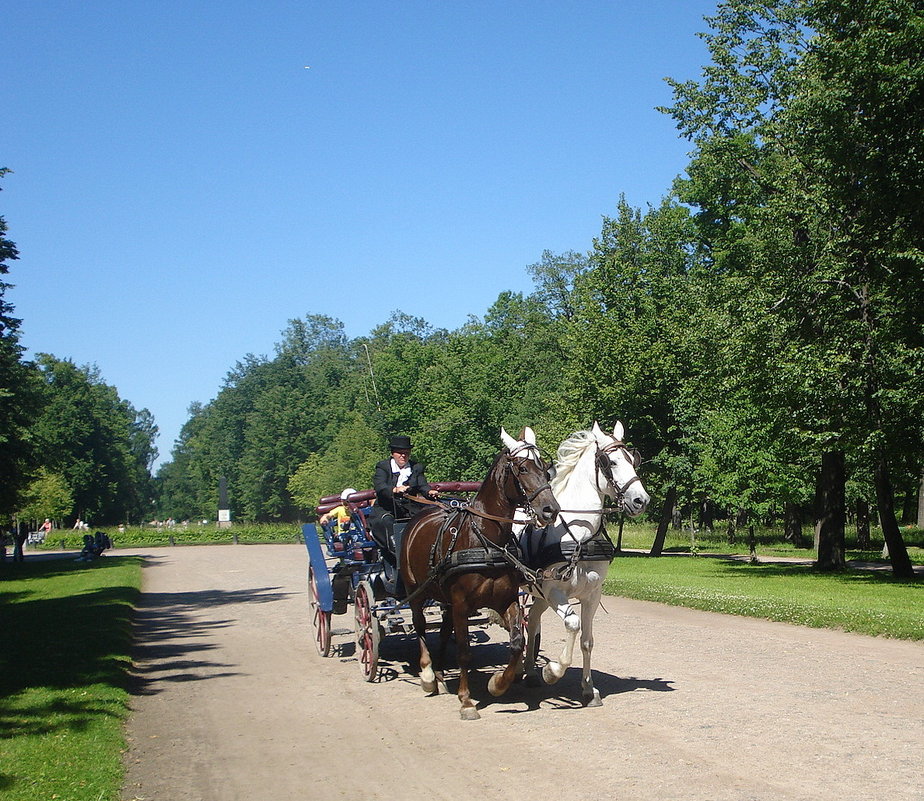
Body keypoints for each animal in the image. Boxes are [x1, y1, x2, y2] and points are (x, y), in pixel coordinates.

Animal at [400, 428, 560, 720]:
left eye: (545, 468)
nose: (550, 509)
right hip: (414, 590)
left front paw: (498, 683)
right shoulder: (462, 604)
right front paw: (466, 701)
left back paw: (440, 674)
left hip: (445, 599)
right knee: (419, 625)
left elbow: (517, 642)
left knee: (443, 630)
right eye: (522, 468)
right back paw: (428, 674)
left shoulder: (506, 600)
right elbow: (464, 652)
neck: (485, 540)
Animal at [520, 422, 648, 704]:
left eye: (633, 460)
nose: (640, 500)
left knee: (532, 620)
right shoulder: (555, 591)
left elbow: (587, 640)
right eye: (611, 462)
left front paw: (589, 689)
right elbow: (573, 625)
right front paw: (553, 670)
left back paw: (530, 672)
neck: (578, 535)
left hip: (539, 594)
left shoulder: (591, 594)